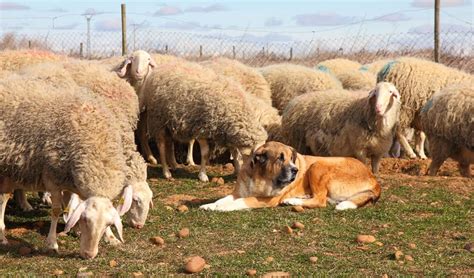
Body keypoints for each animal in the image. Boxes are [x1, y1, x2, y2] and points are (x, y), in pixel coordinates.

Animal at [200, 142, 382, 212]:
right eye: (280, 158)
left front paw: (221, 208)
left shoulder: (265, 200)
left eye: (291, 158)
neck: (261, 177)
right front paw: (210, 205)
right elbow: (223, 198)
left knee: (320, 200)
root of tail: (373, 178)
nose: (295, 170)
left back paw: (293, 201)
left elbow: (241, 202)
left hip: (317, 166)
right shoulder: (237, 192)